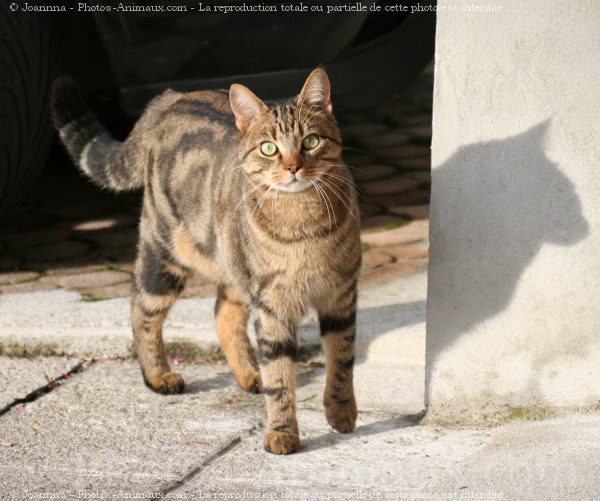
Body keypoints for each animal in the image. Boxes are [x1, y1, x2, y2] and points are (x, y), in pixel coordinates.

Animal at [50, 68, 360, 456]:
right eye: (269, 148)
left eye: (311, 142)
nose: (292, 167)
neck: (302, 224)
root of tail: (173, 96)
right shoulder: (272, 306)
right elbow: (279, 375)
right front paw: (282, 431)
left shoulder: (341, 295)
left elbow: (342, 361)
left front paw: (341, 412)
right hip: (164, 254)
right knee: (140, 309)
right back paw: (157, 375)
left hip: (232, 264)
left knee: (222, 313)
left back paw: (248, 374)